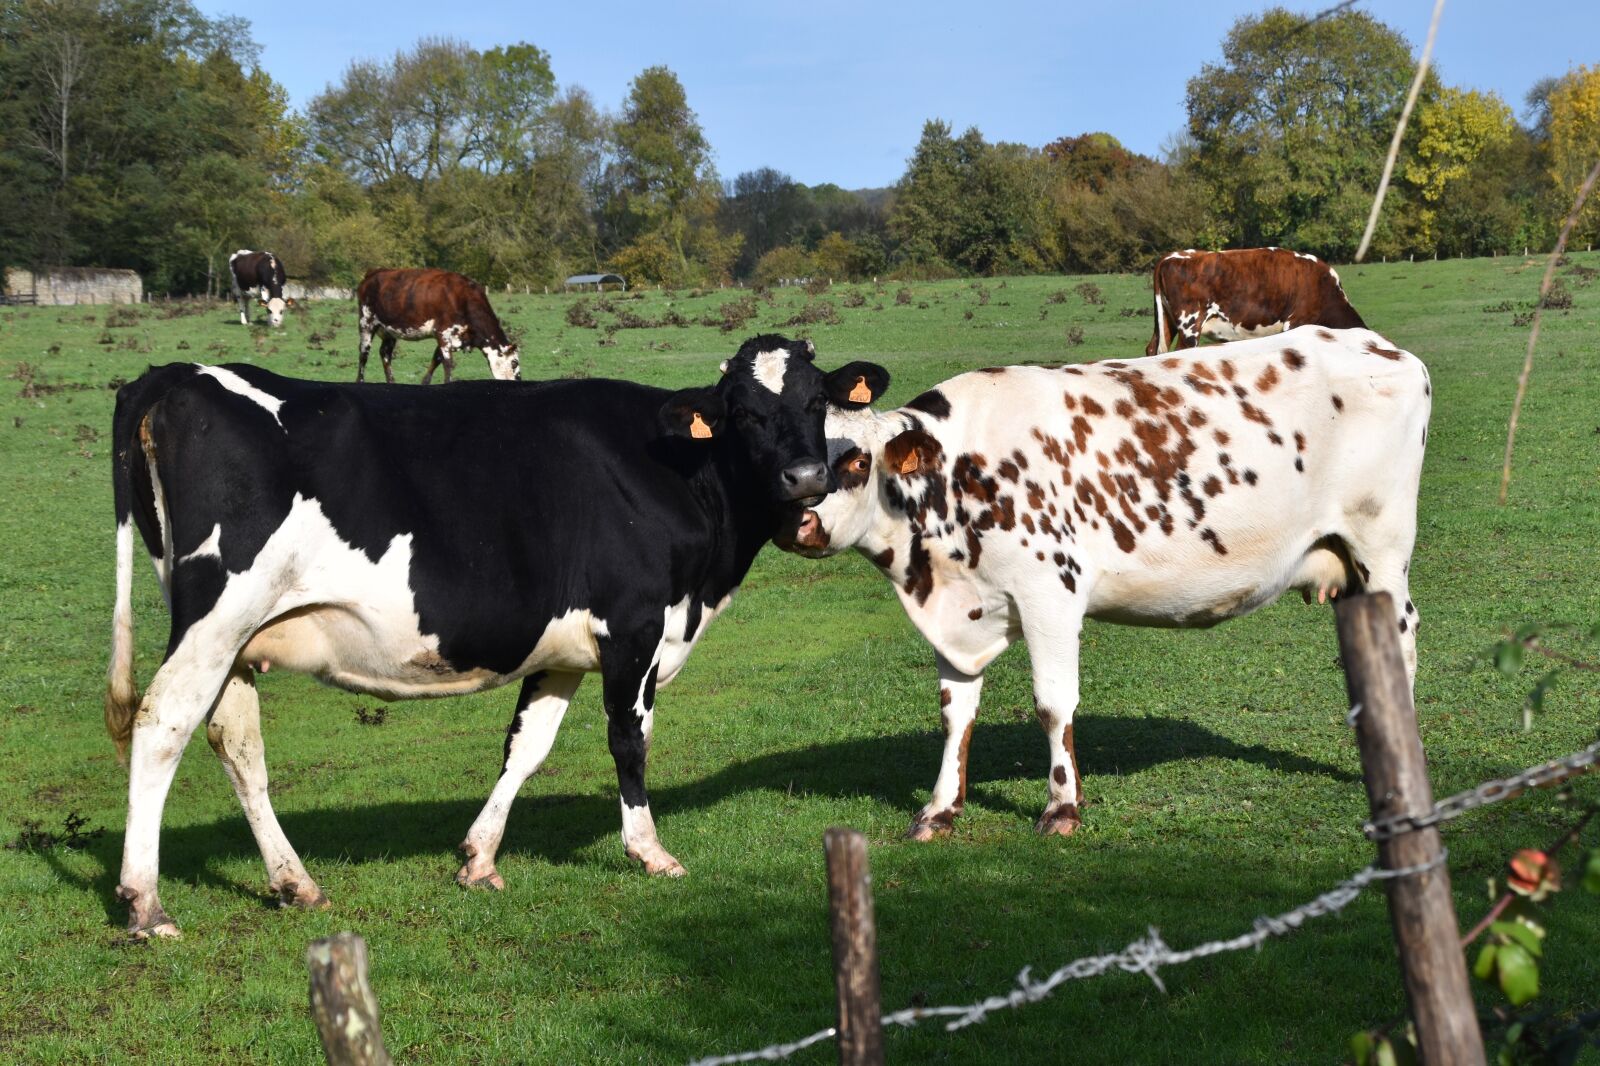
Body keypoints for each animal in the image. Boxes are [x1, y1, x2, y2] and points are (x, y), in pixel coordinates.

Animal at [104, 335, 890, 938]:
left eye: (816, 402)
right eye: (744, 413)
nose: (805, 476)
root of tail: (175, 374)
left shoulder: (566, 647)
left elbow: (526, 746)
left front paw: (479, 858)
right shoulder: (634, 624)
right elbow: (628, 740)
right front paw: (648, 850)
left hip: (237, 638)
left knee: (235, 742)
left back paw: (294, 883)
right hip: (216, 616)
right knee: (163, 722)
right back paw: (146, 904)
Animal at [356, 268, 521, 384]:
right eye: (514, 363)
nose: (519, 381)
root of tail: (373, 272)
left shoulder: (448, 337)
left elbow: (436, 359)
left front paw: (425, 382)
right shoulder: (443, 333)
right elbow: (448, 364)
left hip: (389, 331)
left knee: (385, 353)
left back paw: (391, 382)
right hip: (366, 322)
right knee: (364, 354)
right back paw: (360, 380)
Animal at [776, 326, 1429, 842]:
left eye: (857, 461)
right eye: (776, 454)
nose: (797, 522)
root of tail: (1378, 345)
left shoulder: (1049, 594)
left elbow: (1052, 703)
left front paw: (1062, 807)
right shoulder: (954, 609)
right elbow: (955, 713)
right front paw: (940, 810)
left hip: (1382, 550)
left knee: (1402, 642)